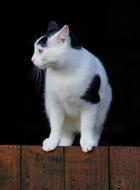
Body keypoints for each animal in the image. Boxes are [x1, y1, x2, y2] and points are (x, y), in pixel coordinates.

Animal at [31, 20, 112, 152]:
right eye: (35, 50)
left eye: (40, 51)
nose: (32, 59)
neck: (64, 73)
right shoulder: (54, 104)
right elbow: (55, 126)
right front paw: (52, 142)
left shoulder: (91, 102)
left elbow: (87, 126)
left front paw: (86, 142)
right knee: (66, 132)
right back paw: (64, 143)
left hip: (101, 114)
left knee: (95, 130)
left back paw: (93, 142)